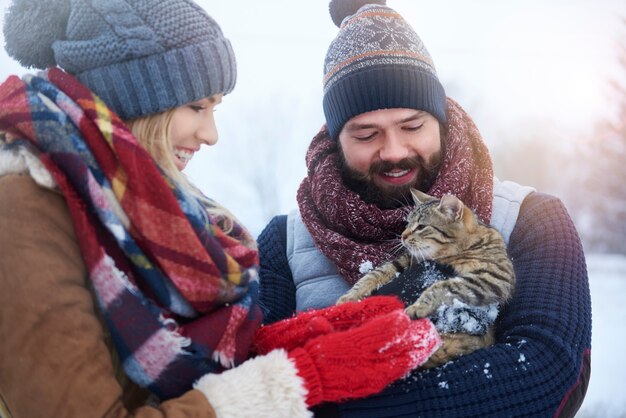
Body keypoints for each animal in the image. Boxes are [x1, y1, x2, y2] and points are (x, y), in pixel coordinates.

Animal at [338, 188, 516, 368]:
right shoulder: (408, 260)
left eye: (421, 226)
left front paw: (419, 306)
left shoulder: (494, 277)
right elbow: (376, 274)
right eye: (407, 223)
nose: (402, 236)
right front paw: (349, 297)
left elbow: (443, 286)